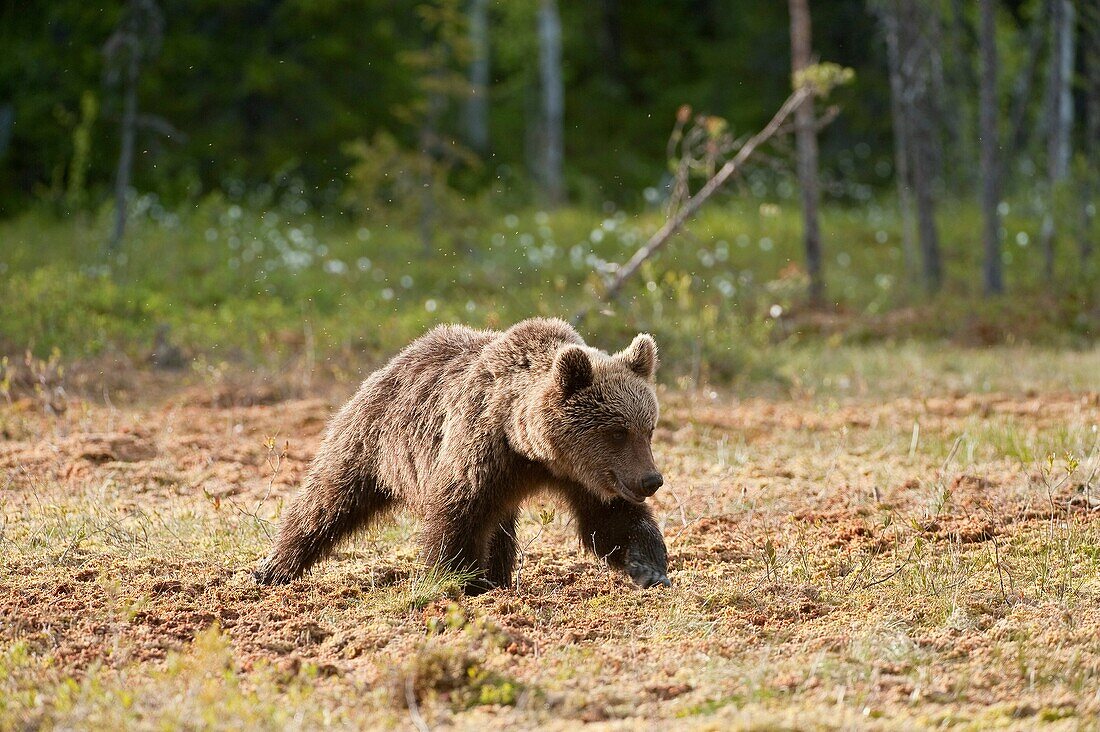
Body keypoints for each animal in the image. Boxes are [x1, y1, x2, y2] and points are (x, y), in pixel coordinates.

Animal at [257, 317, 668, 590]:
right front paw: (461, 581)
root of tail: (395, 360)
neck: (530, 450)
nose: (651, 480)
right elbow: (458, 516)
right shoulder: (480, 449)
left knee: (501, 527)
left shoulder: (583, 475)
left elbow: (610, 518)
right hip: (370, 440)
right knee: (327, 501)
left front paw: (649, 566)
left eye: (648, 428)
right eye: (617, 432)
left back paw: (499, 577)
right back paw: (273, 568)